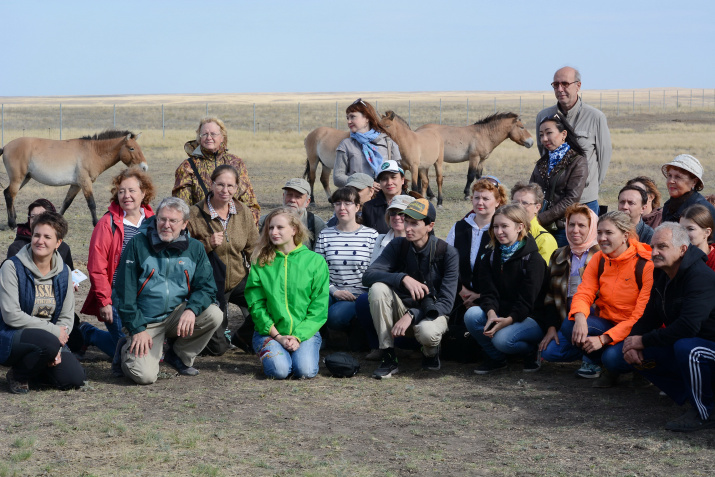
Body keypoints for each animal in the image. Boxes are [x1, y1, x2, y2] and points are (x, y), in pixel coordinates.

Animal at [0, 129, 148, 228]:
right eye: (132, 148)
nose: (144, 167)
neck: (92, 151)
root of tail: (6, 147)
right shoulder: (85, 183)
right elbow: (91, 204)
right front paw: (96, 223)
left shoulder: (76, 185)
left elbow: (66, 202)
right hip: (18, 179)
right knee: (10, 195)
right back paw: (12, 224)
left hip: (25, 178)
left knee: (8, 193)